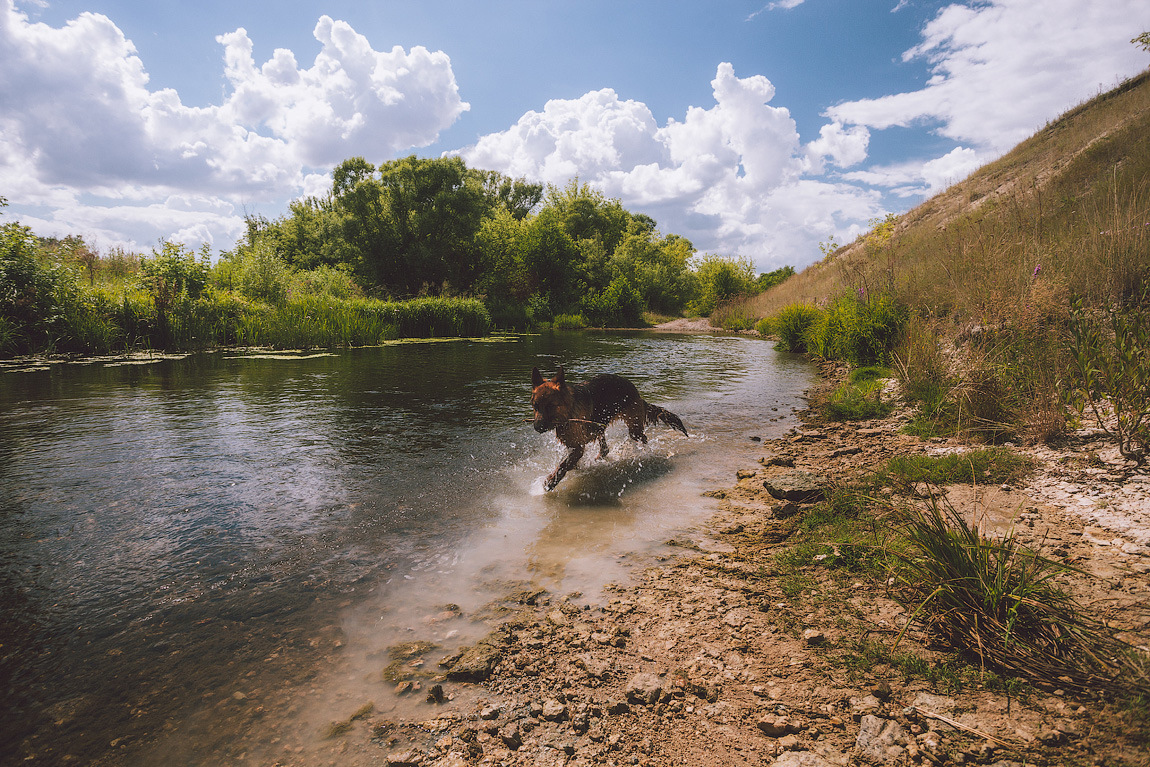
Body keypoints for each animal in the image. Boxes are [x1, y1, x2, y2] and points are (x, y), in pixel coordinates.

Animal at [526, 365, 680, 492]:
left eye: (550, 406)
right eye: (535, 406)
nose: (537, 427)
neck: (569, 412)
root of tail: (634, 389)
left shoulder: (578, 448)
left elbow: (563, 465)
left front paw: (551, 482)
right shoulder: (573, 445)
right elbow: (568, 463)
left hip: (633, 430)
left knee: (643, 438)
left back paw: (646, 452)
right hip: (600, 427)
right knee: (605, 449)